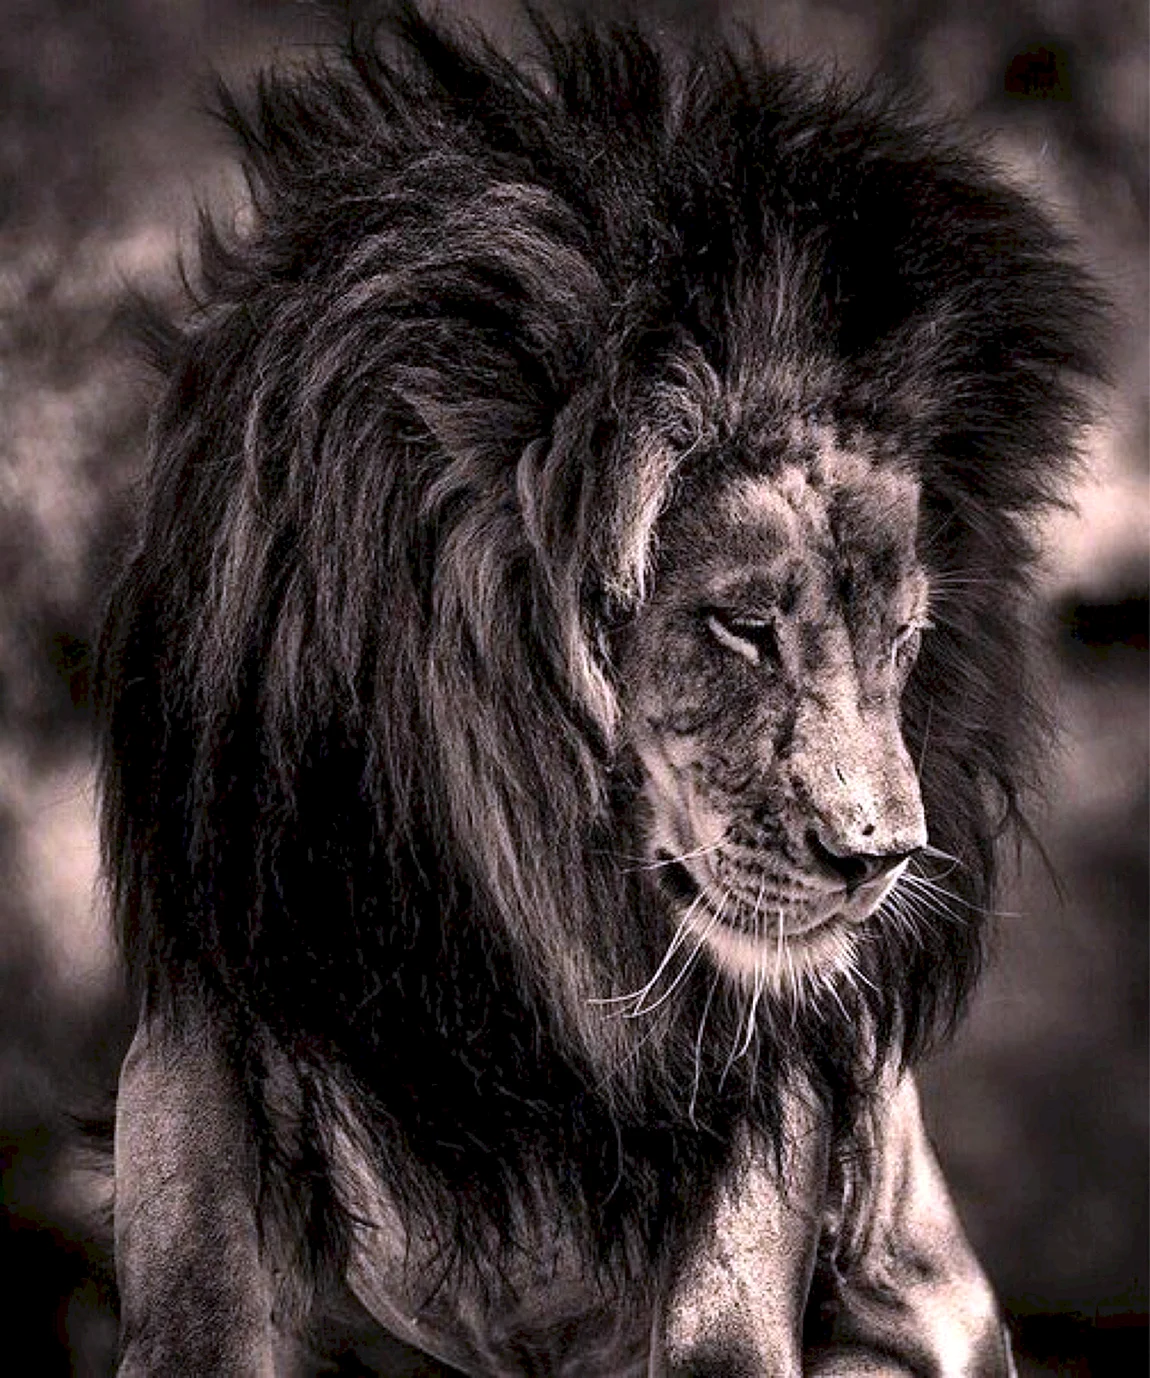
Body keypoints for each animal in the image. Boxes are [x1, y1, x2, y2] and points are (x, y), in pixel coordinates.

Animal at [98, 6, 1103, 1375]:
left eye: (902, 641)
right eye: (743, 628)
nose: (882, 858)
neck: (513, 923)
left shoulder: (765, 1097)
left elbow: (724, 1318)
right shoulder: (216, 1005)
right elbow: (199, 1307)